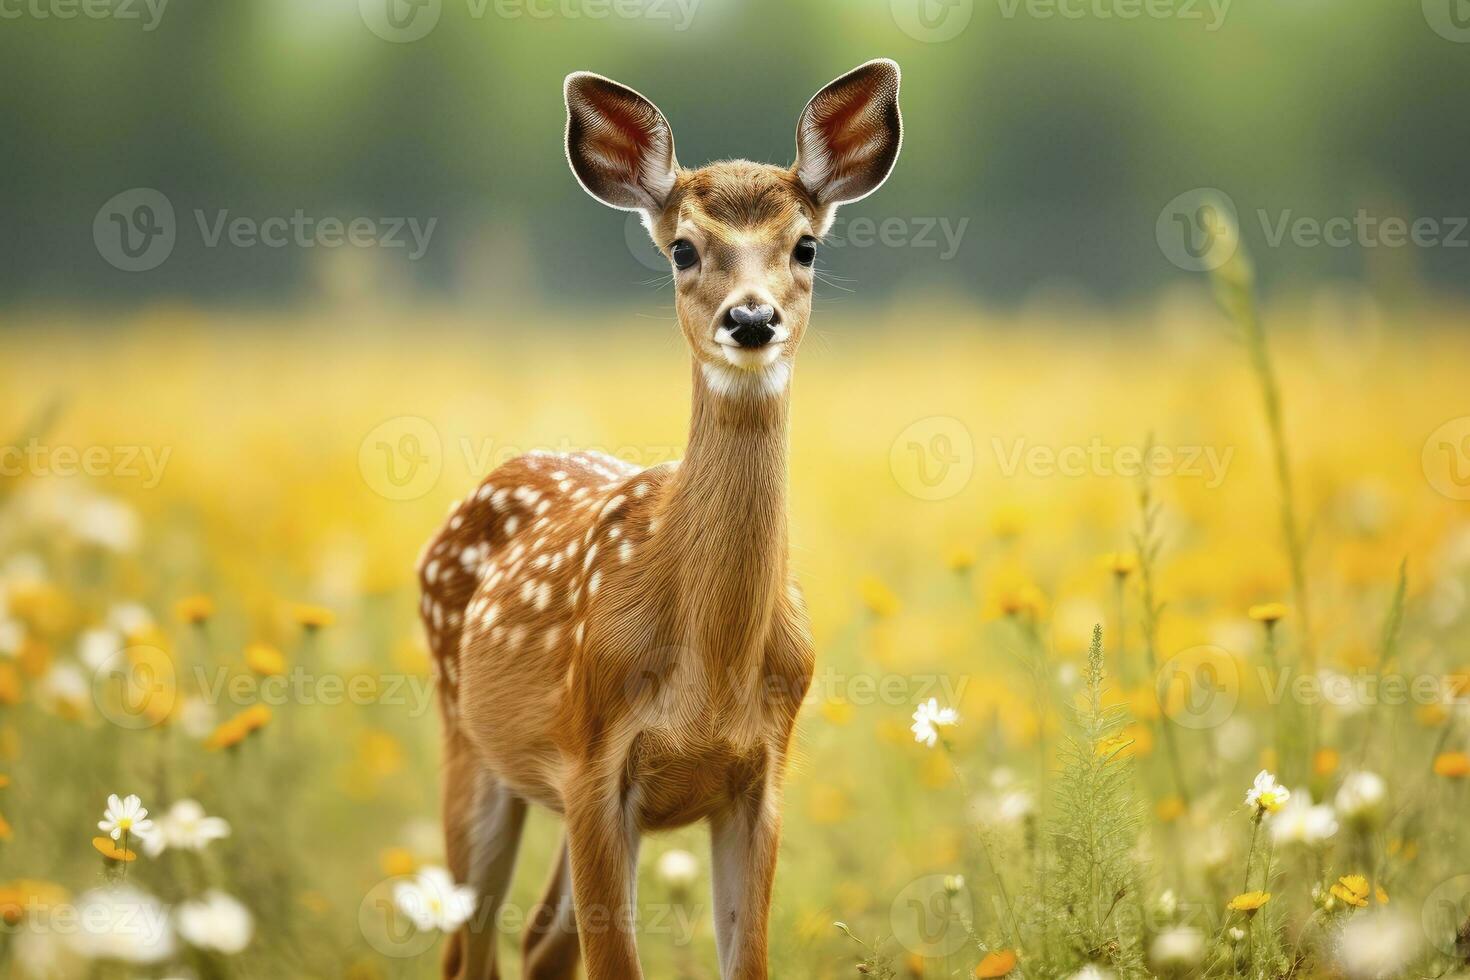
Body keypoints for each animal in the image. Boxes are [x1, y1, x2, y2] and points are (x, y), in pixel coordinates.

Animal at [420, 63, 899, 980]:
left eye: (806, 246)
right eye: (683, 247)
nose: (750, 319)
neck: (711, 677)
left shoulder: (760, 777)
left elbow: (746, 961)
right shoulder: (592, 757)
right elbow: (616, 963)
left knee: (539, 939)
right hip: (469, 740)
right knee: (470, 947)